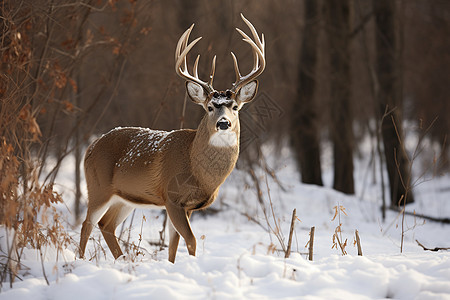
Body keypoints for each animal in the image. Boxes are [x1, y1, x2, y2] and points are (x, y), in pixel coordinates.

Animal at [79, 14, 266, 262]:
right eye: (209, 107)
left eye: (235, 107)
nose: (223, 123)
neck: (198, 170)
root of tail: (90, 147)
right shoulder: (172, 198)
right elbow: (191, 240)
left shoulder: (186, 206)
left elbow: (173, 244)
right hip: (98, 187)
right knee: (87, 223)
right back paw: (79, 261)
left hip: (124, 198)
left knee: (106, 225)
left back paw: (121, 259)